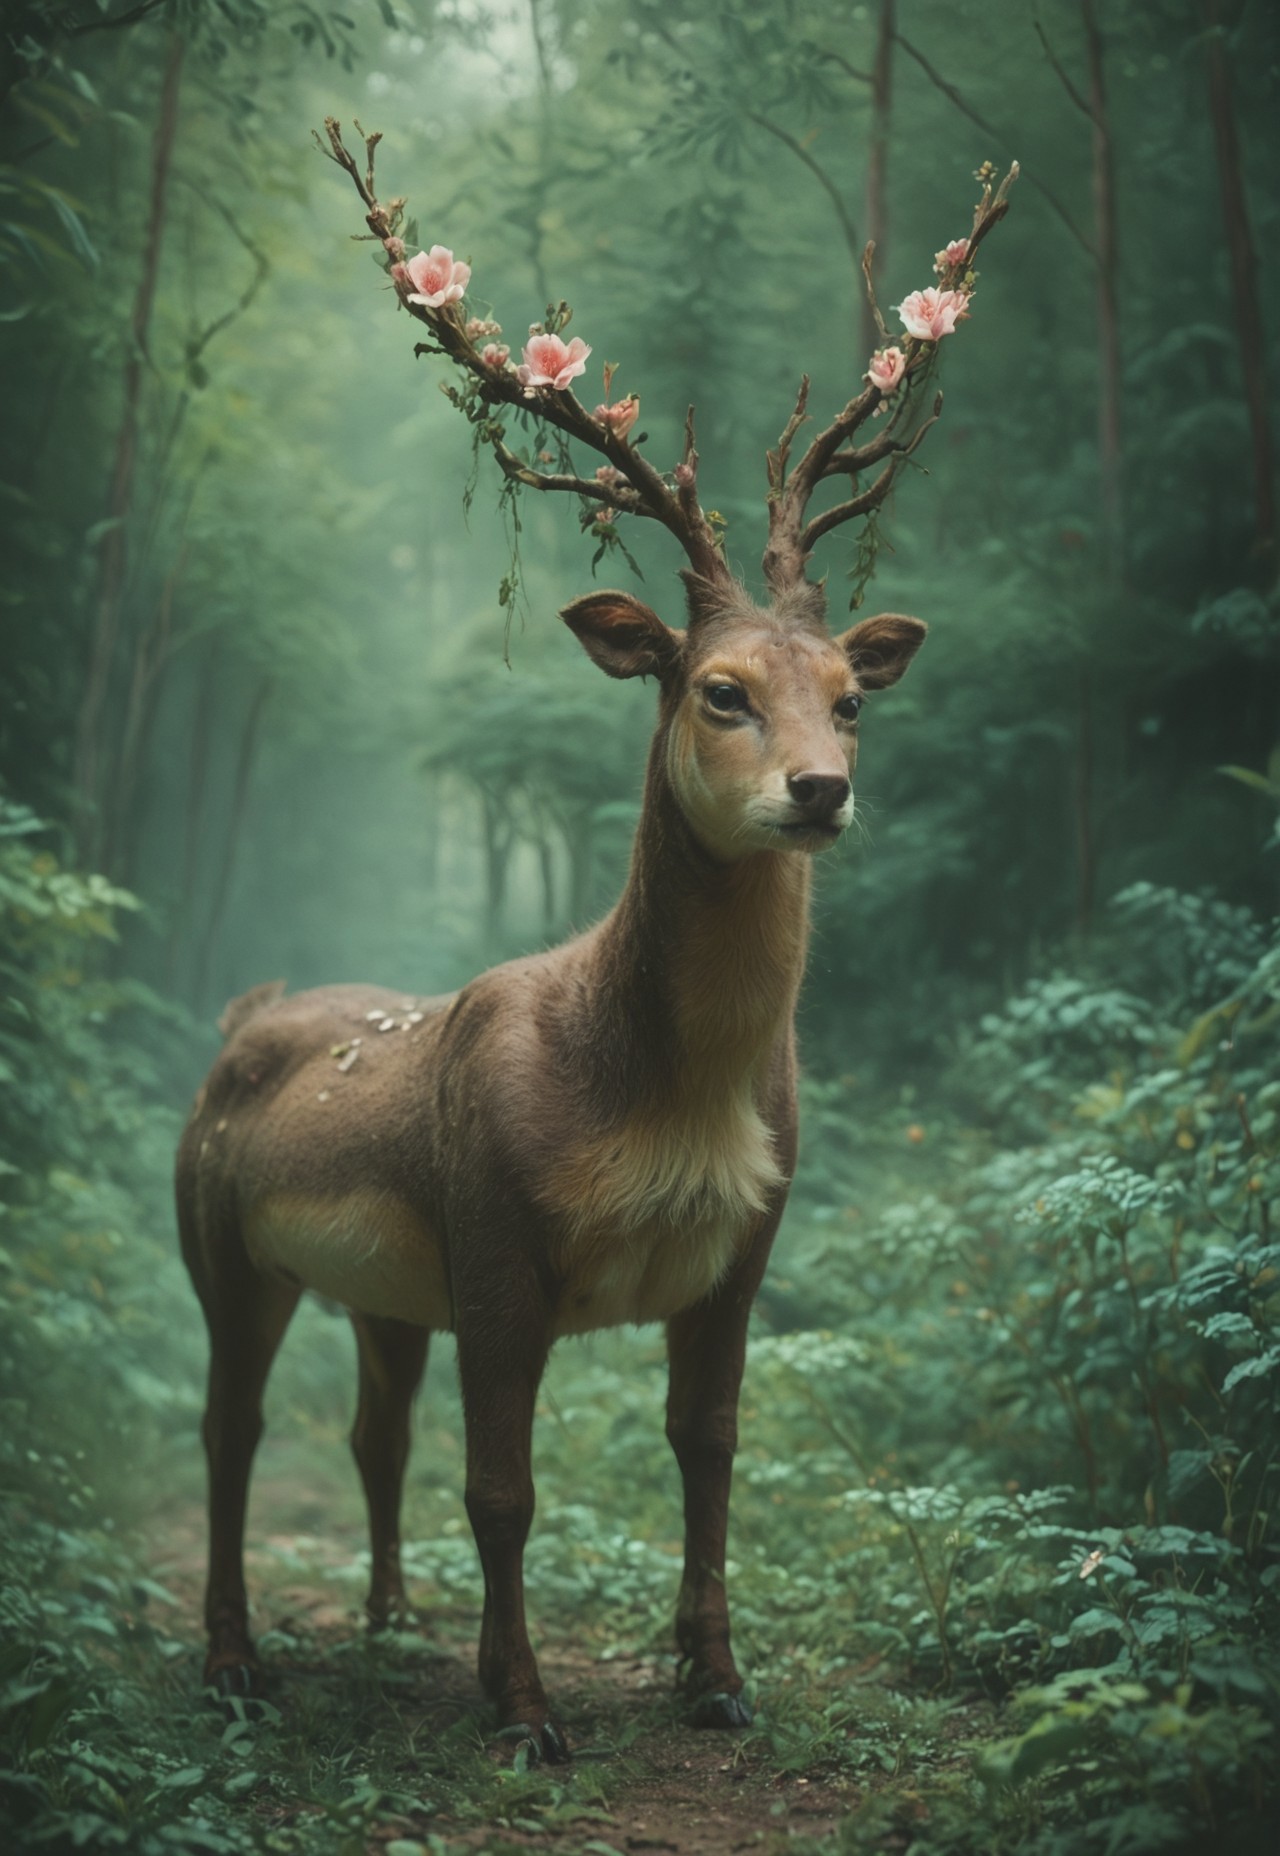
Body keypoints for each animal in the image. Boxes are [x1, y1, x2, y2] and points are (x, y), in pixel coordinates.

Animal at [176, 125, 1015, 1764]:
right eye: (719, 691)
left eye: (850, 698)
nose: (820, 790)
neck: (656, 1094)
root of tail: (247, 1012)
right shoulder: (496, 1232)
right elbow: (503, 1490)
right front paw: (524, 1711)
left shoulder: (749, 1243)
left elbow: (710, 1451)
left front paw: (717, 1678)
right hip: (214, 1234)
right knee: (230, 1428)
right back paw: (237, 1658)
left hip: (383, 1287)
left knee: (371, 1425)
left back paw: (386, 1619)